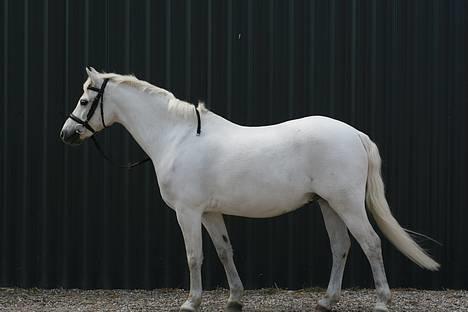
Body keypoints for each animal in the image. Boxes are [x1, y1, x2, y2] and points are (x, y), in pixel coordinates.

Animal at [59, 68, 438, 312]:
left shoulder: (188, 212)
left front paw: (191, 302)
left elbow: (194, 255)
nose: (66, 134)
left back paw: (381, 302)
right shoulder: (210, 212)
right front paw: (234, 299)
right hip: (328, 205)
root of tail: (356, 134)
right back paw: (326, 301)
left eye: (83, 101)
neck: (177, 137)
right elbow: (224, 251)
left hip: (346, 204)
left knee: (370, 243)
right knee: (341, 247)